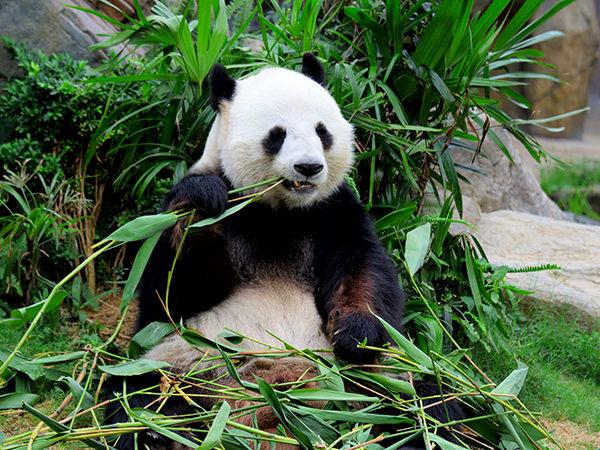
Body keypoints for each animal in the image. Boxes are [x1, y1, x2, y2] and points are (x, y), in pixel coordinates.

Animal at [104, 53, 464, 450]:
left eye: (322, 131)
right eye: (277, 134)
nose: (309, 167)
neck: (280, 210)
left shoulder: (333, 210)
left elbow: (363, 270)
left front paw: (355, 335)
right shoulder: (214, 209)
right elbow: (171, 292)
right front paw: (202, 200)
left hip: (371, 382)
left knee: (428, 400)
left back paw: (420, 429)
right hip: (190, 363)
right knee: (137, 392)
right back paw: (155, 432)